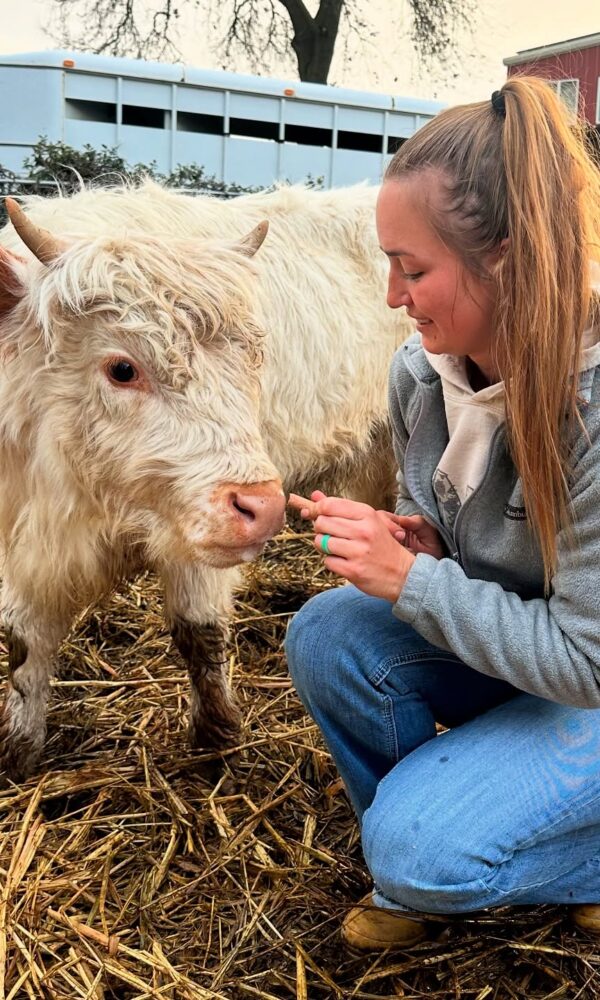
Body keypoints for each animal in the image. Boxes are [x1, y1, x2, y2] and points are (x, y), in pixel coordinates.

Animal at [0, 182, 413, 781]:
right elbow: (23, 645)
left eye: (252, 360)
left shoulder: (199, 543)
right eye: (121, 368)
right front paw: (19, 750)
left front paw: (216, 738)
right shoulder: (26, 541)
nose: (263, 506)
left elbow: (199, 632)